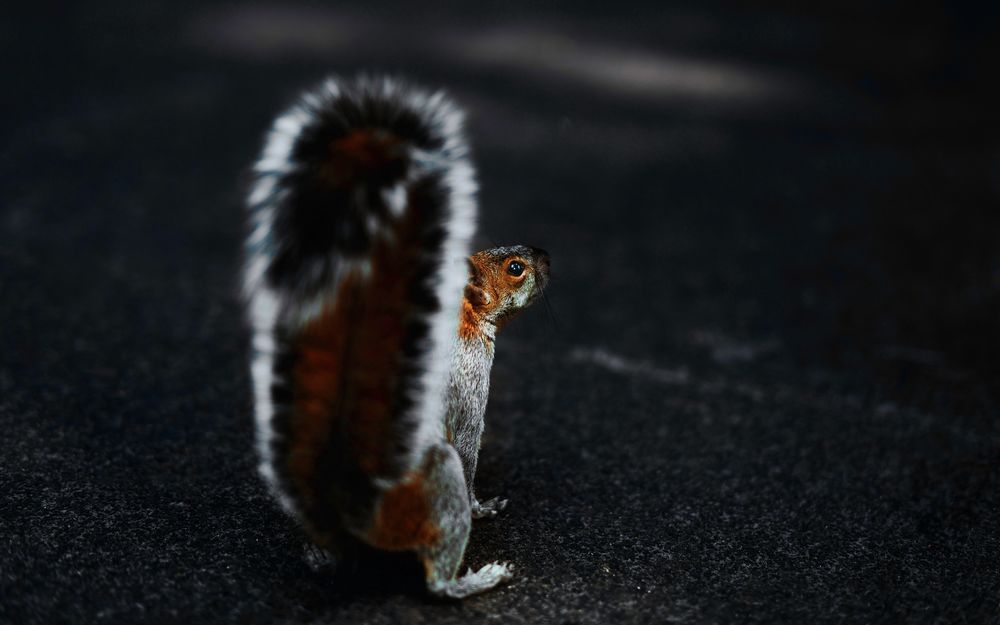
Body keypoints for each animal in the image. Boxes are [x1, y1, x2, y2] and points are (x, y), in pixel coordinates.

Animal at [242, 76, 550, 599]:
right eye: (515, 269)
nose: (544, 254)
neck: (464, 319)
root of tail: (352, 509)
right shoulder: (469, 380)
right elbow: (468, 447)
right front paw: (482, 506)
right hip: (436, 489)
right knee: (436, 575)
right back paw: (473, 580)